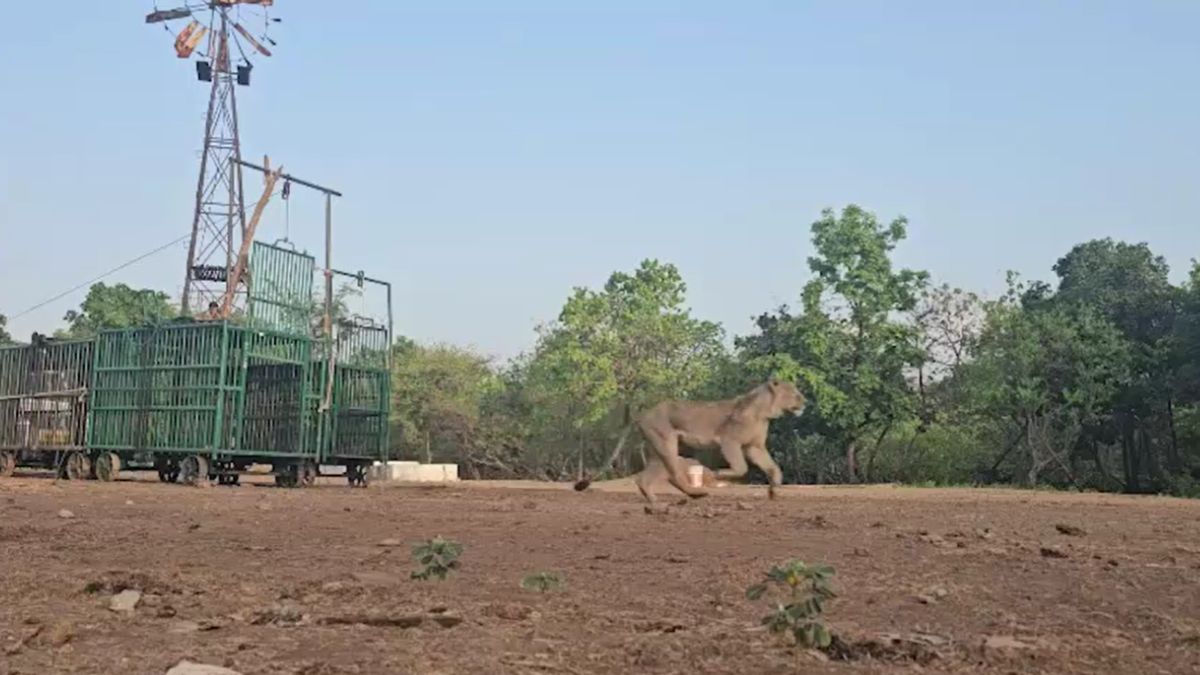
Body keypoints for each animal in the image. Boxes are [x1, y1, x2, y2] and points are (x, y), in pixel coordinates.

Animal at [573, 378, 806, 508]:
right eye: (795, 393)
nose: (805, 402)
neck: (765, 411)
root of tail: (642, 414)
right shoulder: (729, 441)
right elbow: (741, 468)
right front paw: (719, 475)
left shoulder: (754, 447)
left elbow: (773, 468)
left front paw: (774, 491)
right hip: (666, 442)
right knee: (674, 475)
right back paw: (697, 493)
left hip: (657, 450)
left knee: (645, 478)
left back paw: (656, 502)